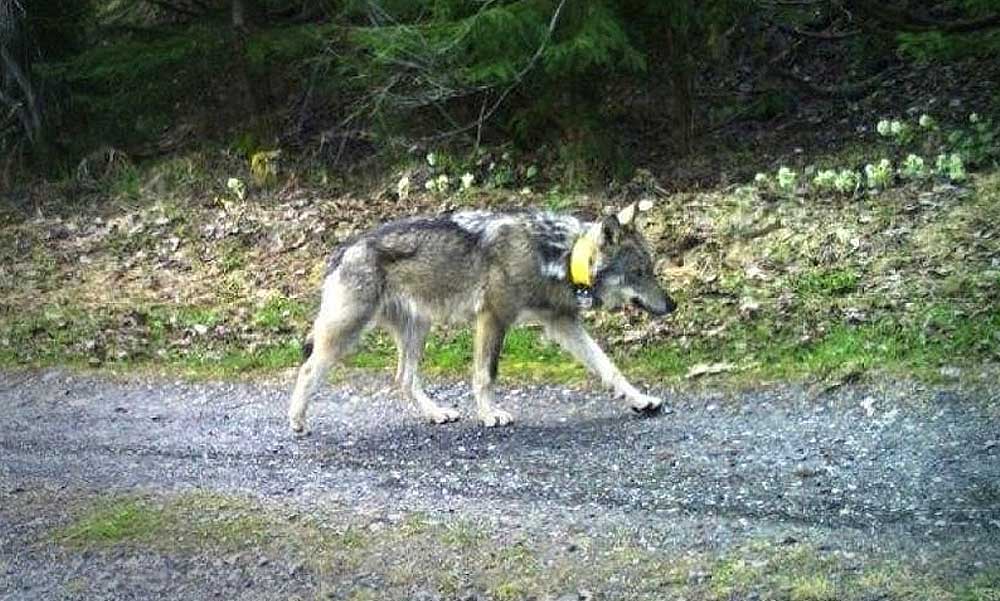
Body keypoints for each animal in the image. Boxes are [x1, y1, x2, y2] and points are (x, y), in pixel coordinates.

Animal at [290, 203, 680, 432]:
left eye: (652, 270)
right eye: (639, 273)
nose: (672, 305)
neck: (558, 255)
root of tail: (344, 247)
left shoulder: (563, 323)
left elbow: (608, 367)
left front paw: (640, 400)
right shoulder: (493, 318)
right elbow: (485, 375)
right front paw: (490, 415)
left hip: (418, 330)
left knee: (404, 379)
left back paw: (435, 413)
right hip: (347, 333)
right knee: (308, 369)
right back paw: (297, 421)